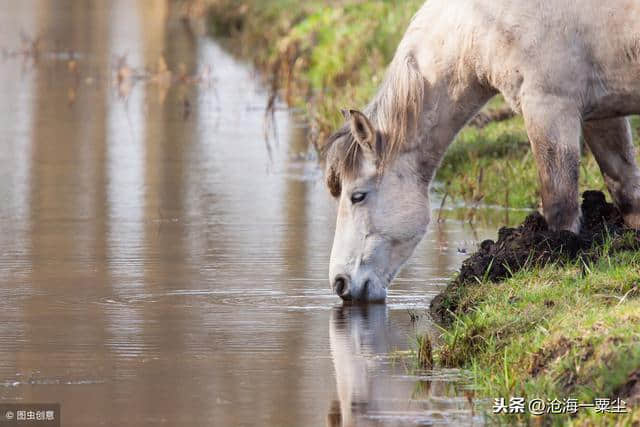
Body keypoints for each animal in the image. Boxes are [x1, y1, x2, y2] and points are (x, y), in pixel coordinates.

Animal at [324, 0, 640, 302]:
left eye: (357, 196)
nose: (340, 283)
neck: (482, 21)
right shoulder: (600, 115)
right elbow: (625, 189)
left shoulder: (550, 108)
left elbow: (560, 204)